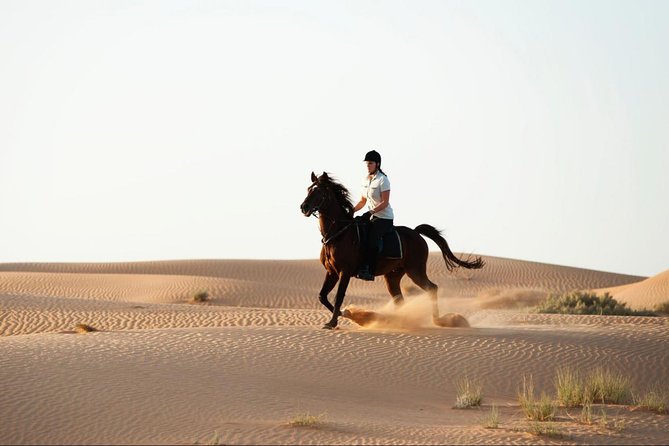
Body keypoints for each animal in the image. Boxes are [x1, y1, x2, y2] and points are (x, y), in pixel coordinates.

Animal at [300, 172, 482, 330]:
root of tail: (416, 233)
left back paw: (438, 321)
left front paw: (335, 321)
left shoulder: (344, 272)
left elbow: (338, 297)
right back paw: (399, 321)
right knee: (399, 300)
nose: (304, 207)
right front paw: (345, 314)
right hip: (393, 276)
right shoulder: (332, 272)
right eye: (309, 189)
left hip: (415, 271)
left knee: (432, 288)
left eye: (319, 191)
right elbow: (322, 296)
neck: (338, 233)